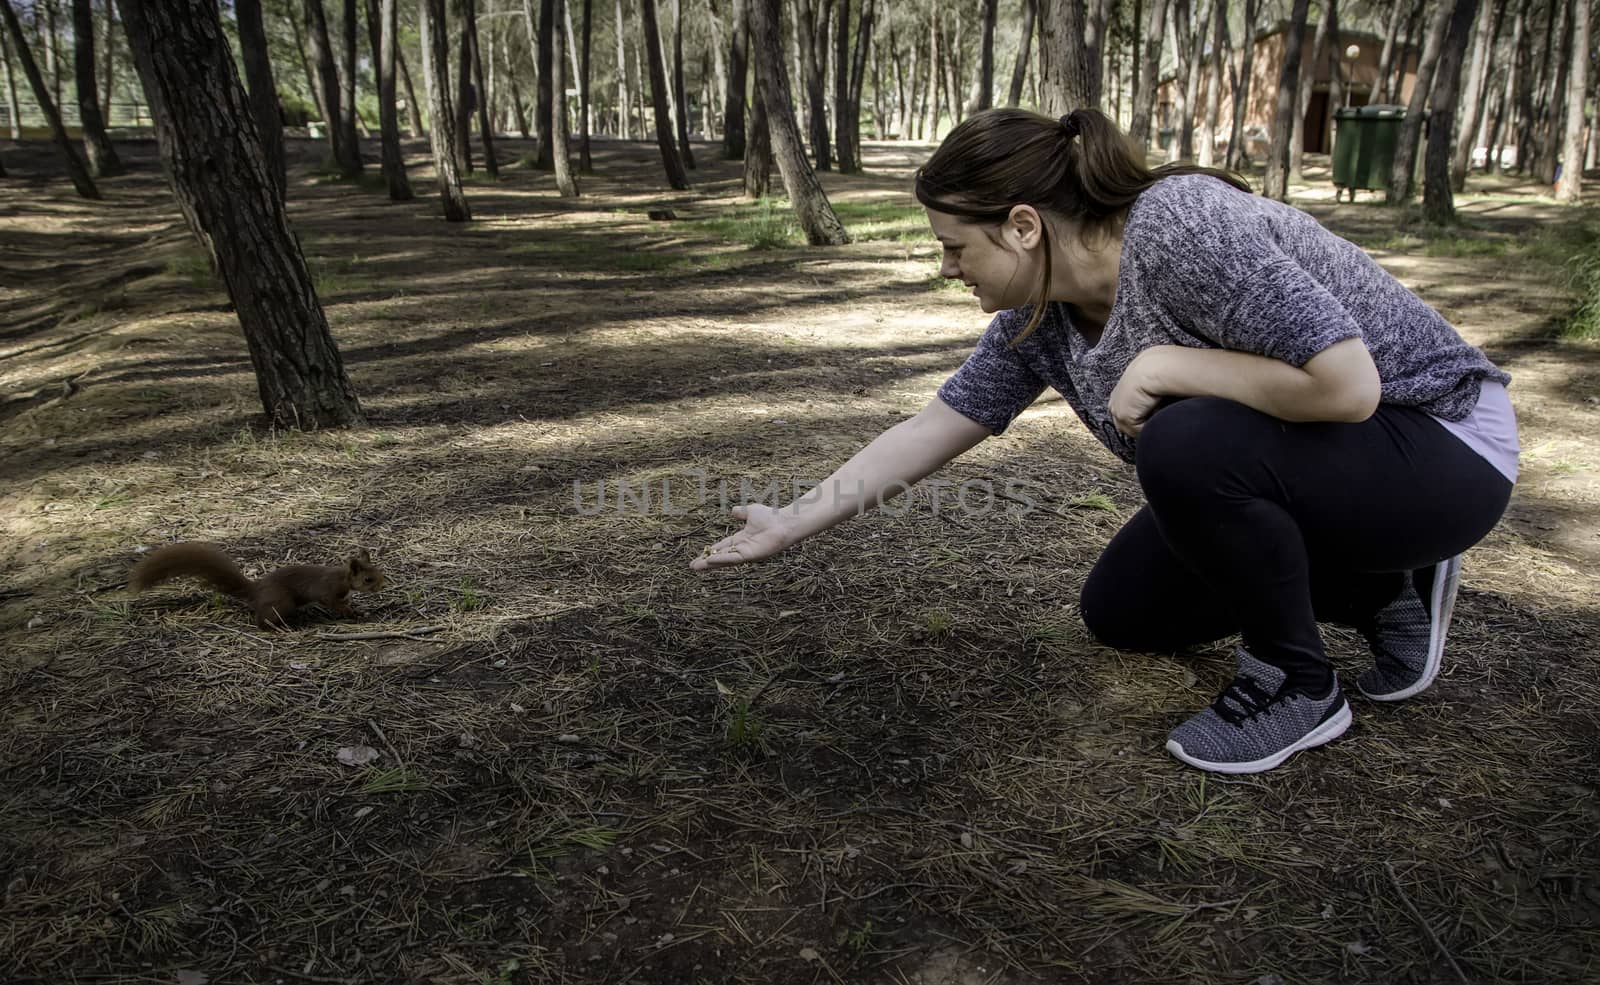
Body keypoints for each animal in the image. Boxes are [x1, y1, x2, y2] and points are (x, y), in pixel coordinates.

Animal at [131, 543, 387, 626]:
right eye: (368, 579)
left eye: (380, 572)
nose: (381, 587)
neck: (343, 577)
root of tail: (256, 590)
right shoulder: (327, 590)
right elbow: (332, 602)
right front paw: (351, 613)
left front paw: (357, 609)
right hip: (281, 602)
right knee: (261, 621)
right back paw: (280, 628)